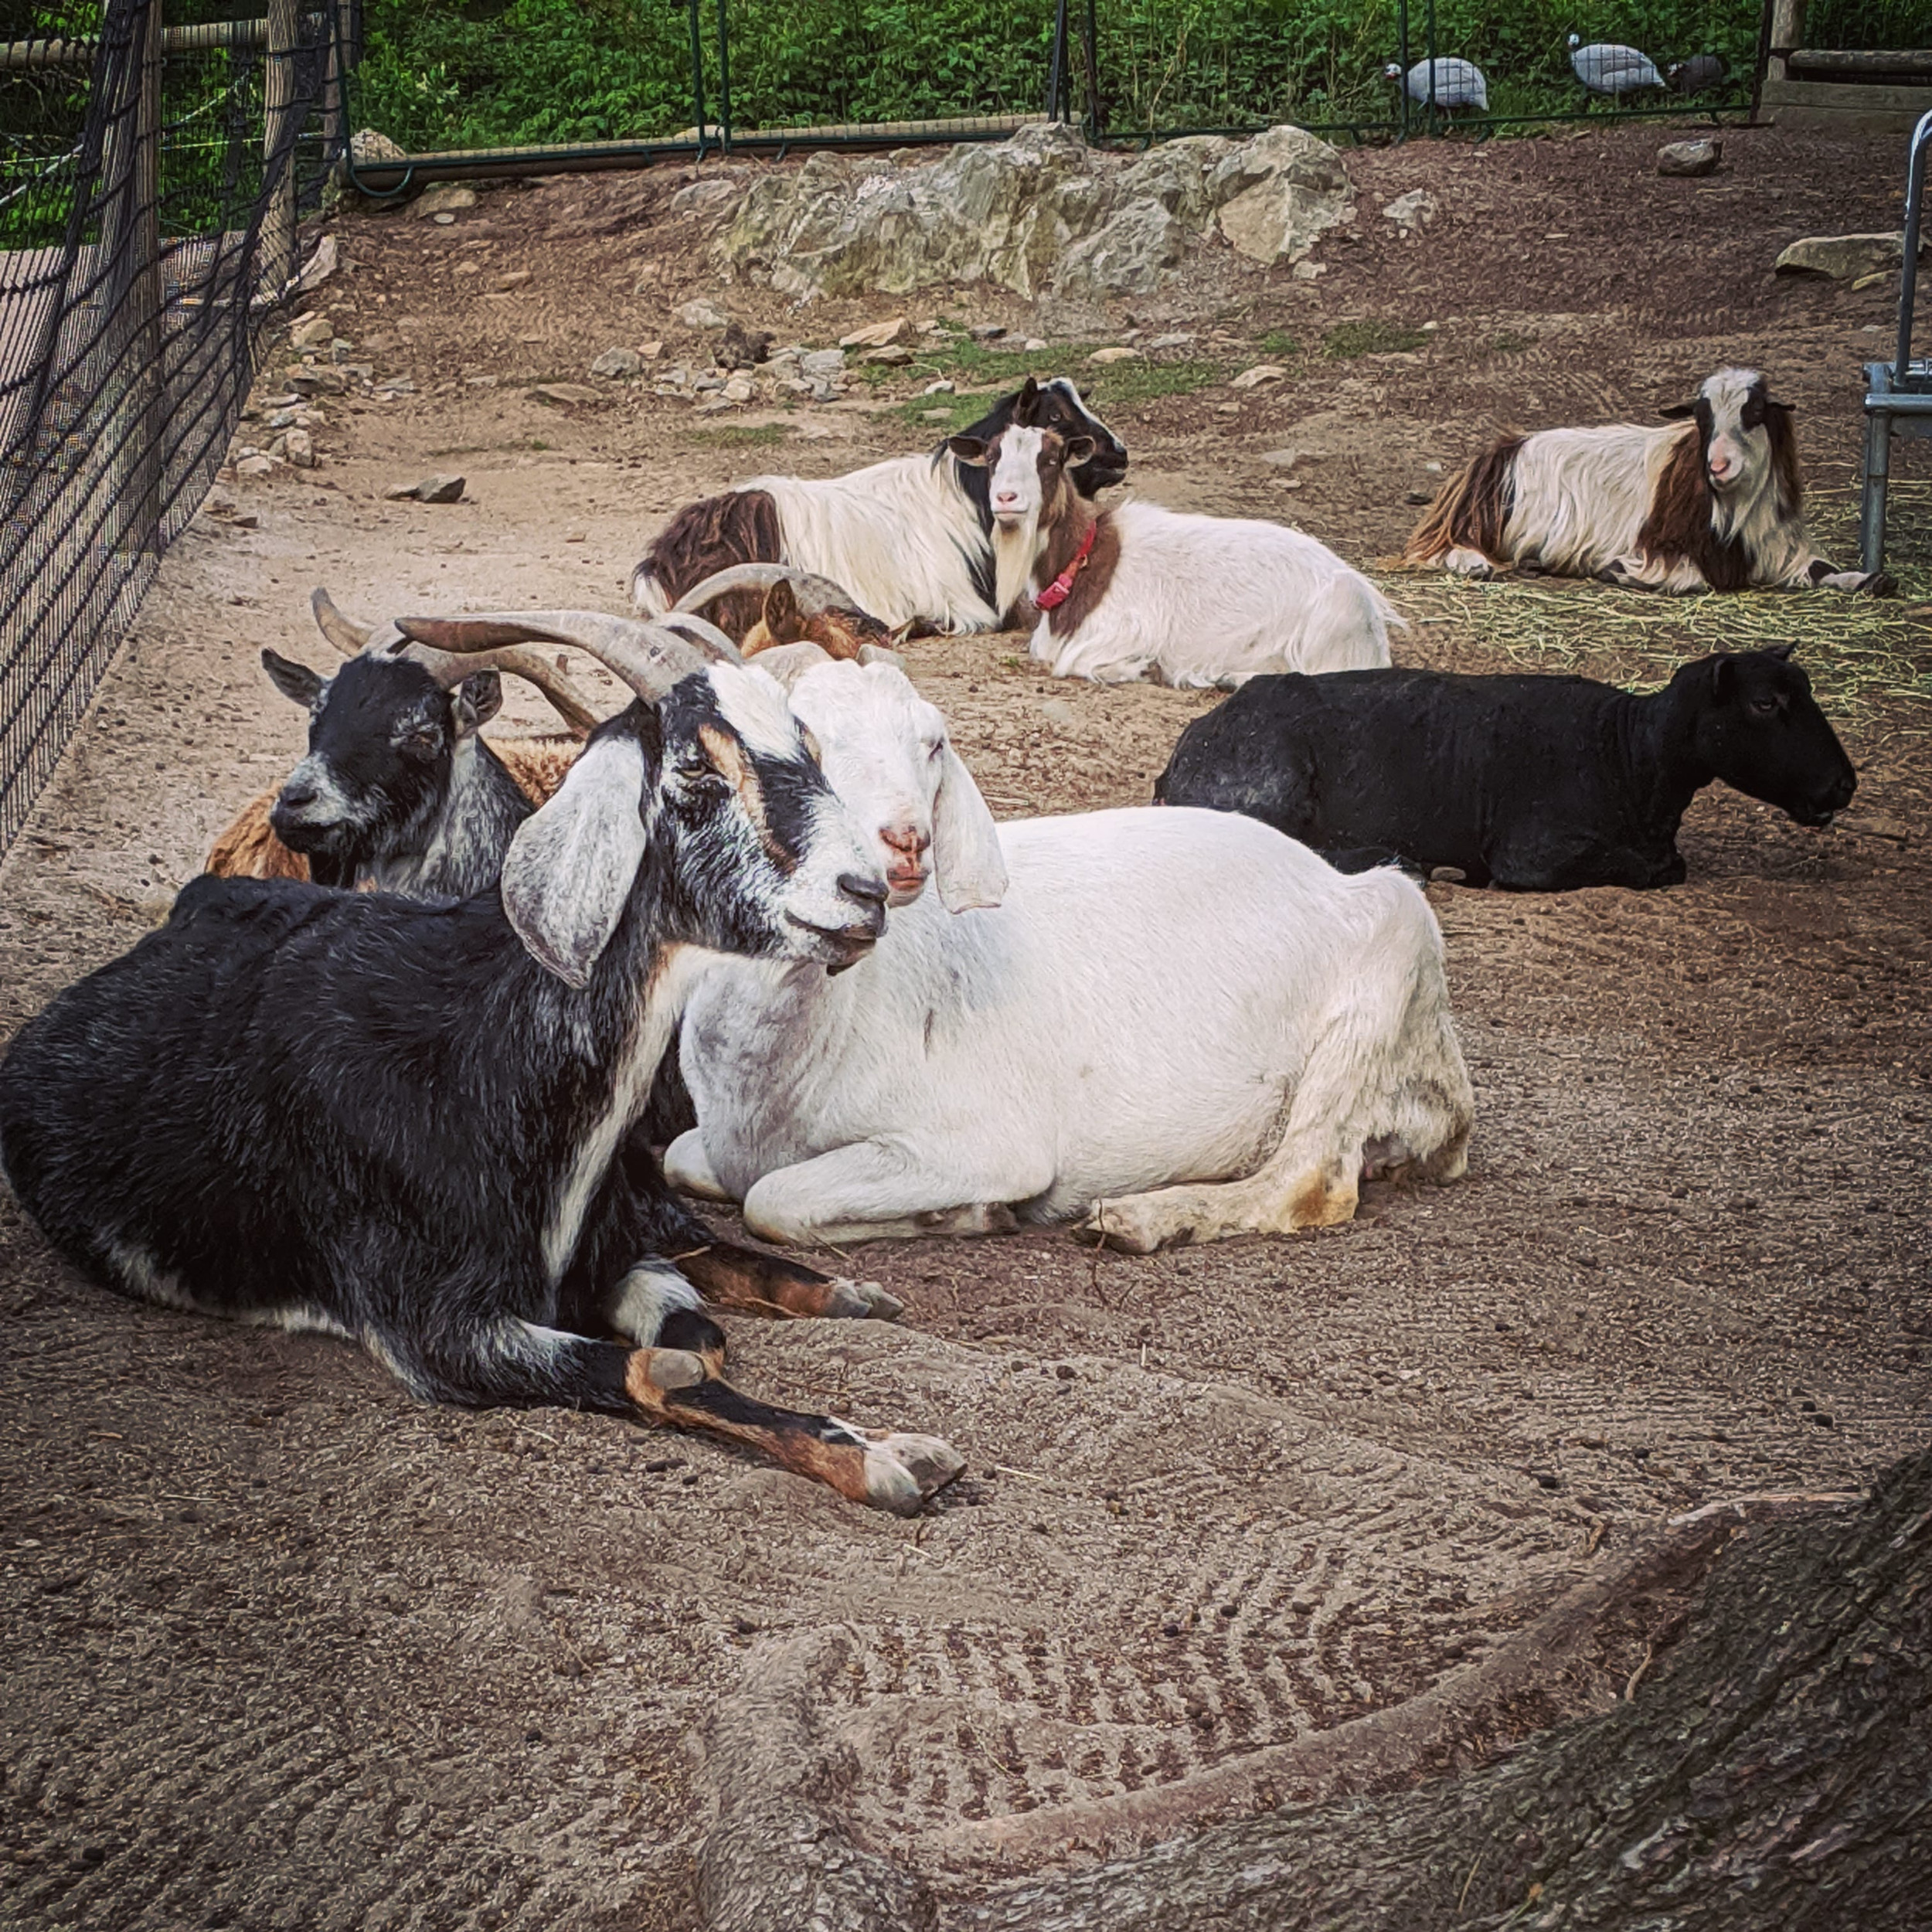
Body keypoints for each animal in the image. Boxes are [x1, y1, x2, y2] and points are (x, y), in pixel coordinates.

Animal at [0, 611, 962, 1513]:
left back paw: (853, 1293)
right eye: (693, 766)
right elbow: (653, 1365)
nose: (866, 892)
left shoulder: (609, 1248)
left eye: (808, 750)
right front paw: (881, 1455)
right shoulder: (432, 1325)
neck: (478, 1046)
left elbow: (686, 1333)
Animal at [663, 647, 1470, 1254]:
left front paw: (971, 1214)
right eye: (808, 745)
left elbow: (773, 1202)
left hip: (1387, 963)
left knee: (1311, 1183)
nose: (906, 842)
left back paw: (1141, 1219)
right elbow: (681, 1160)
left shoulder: (983, 1142)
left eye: (933, 742)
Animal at [947, 423, 1398, 688]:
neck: (1084, 559)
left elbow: (1074, 663)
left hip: (1333, 625)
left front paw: (1143, 668)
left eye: (1052, 460)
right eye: (992, 458)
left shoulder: (1126, 629)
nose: (1007, 499)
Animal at [1154, 646, 1857, 891]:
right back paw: (1409, 863)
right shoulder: (1533, 856)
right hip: (1269, 784)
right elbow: (1656, 872)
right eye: (1764, 703)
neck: (1629, 754)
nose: (1844, 784)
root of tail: (1190, 743)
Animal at [1405, 367, 1890, 594]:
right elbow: (1690, 579)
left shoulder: (1779, 549)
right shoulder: (1663, 545)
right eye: (1701, 417)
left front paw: (1872, 580)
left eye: (1754, 411)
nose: (1718, 466)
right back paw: (1474, 564)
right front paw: (1615, 570)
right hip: (1477, 522)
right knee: (1443, 546)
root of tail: (1505, 446)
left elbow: (1821, 570)